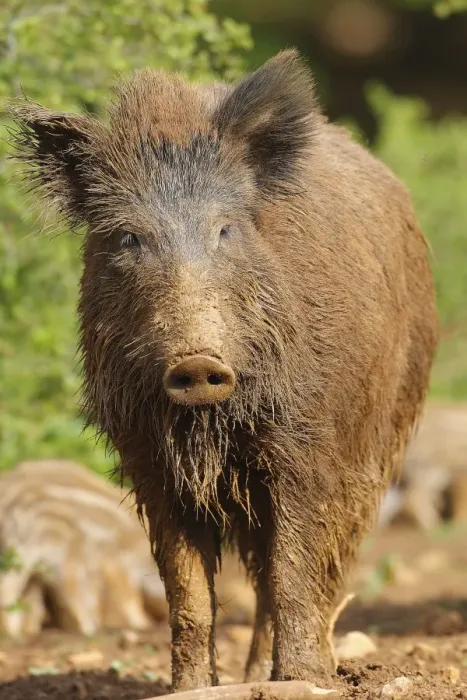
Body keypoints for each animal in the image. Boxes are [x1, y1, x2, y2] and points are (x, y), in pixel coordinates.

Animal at [10, 50, 438, 688]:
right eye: (129, 237)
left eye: (225, 229)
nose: (197, 362)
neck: (210, 427)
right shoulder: (148, 460)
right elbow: (188, 592)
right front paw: (190, 689)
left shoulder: (306, 445)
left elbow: (294, 569)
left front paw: (301, 681)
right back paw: (255, 674)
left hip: (379, 441)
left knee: (320, 565)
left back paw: (301, 673)